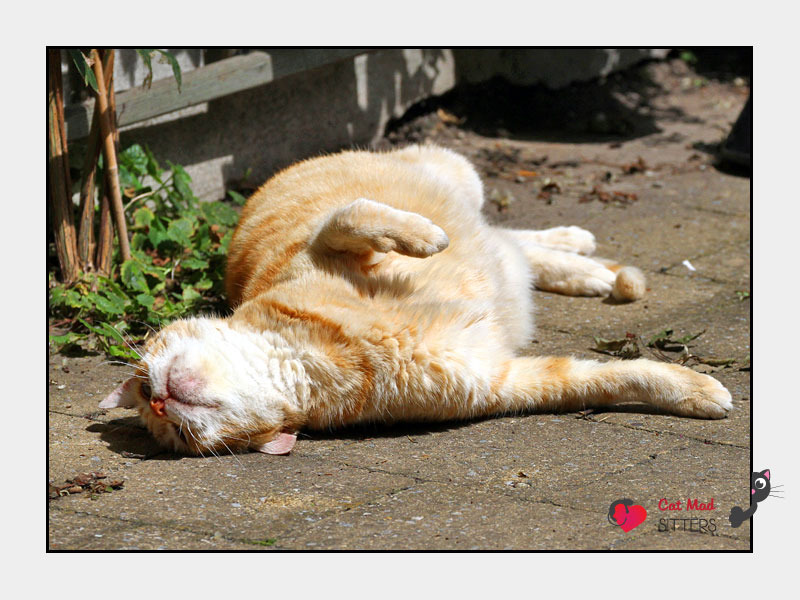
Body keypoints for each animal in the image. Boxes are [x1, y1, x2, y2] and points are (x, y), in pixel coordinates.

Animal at [100, 145, 732, 454]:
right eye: (178, 437)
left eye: (146, 383)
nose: (159, 401)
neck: (322, 358)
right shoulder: (505, 383)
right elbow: (615, 376)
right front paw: (698, 392)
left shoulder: (329, 239)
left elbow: (355, 215)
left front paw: (426, 238)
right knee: (515, 252)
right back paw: (593, 272)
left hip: (459, 170)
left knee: (494, 227)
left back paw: (575, 248)